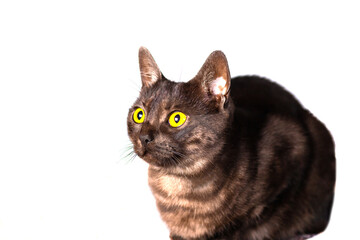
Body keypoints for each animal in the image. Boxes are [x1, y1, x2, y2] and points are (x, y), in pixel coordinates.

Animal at [126, 47, 334, 240]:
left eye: (176, 118)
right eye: (139, 115)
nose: (144, 137)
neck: (179, 182)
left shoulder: (293, 148)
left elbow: (252, 220)